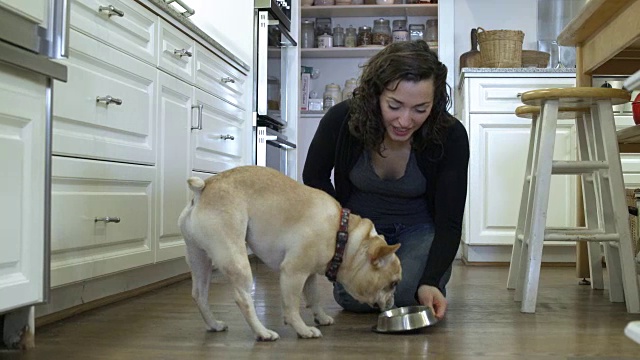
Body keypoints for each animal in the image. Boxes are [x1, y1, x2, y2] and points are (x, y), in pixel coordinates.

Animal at [178, 166, 402, 340]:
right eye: (393, 284)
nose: (392, 302)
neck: (343, 238)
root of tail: (203, 189)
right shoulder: (294, 272)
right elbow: (292, 305)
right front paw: (303, 329)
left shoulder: (309, 274)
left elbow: (314, 297)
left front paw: (321, 317)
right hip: (235, 257)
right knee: (243, 298)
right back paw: (263, 332)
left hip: (199, 258)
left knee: (199, 294)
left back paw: (214, 324)